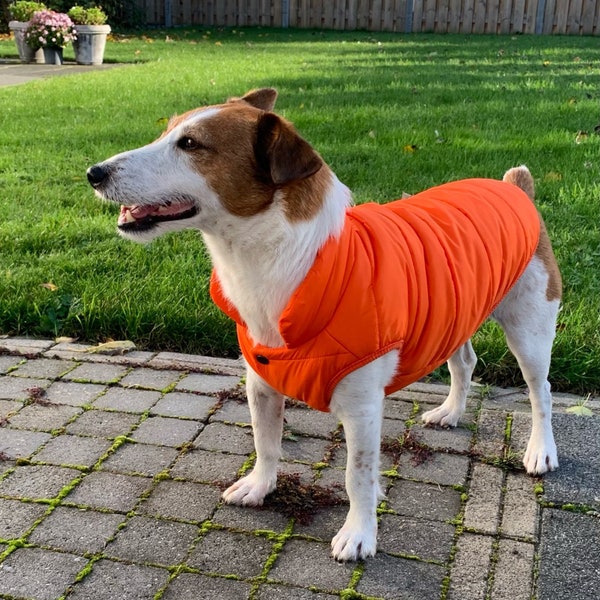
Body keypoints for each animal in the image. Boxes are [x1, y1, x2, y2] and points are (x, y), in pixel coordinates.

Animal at [89, 88, 564, 564]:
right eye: (166, 131)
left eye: (190, 144)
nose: (94, 172)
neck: (285, 259)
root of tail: (513, 187)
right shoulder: (261, 382)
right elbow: (266, 442)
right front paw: (260, 485)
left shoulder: (363, 409)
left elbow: (358, 476)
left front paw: (359, 532)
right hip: (454, 315)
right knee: (464, 361)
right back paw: (451, 411)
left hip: (529, 329)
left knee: (540, 392)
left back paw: (540, 450)